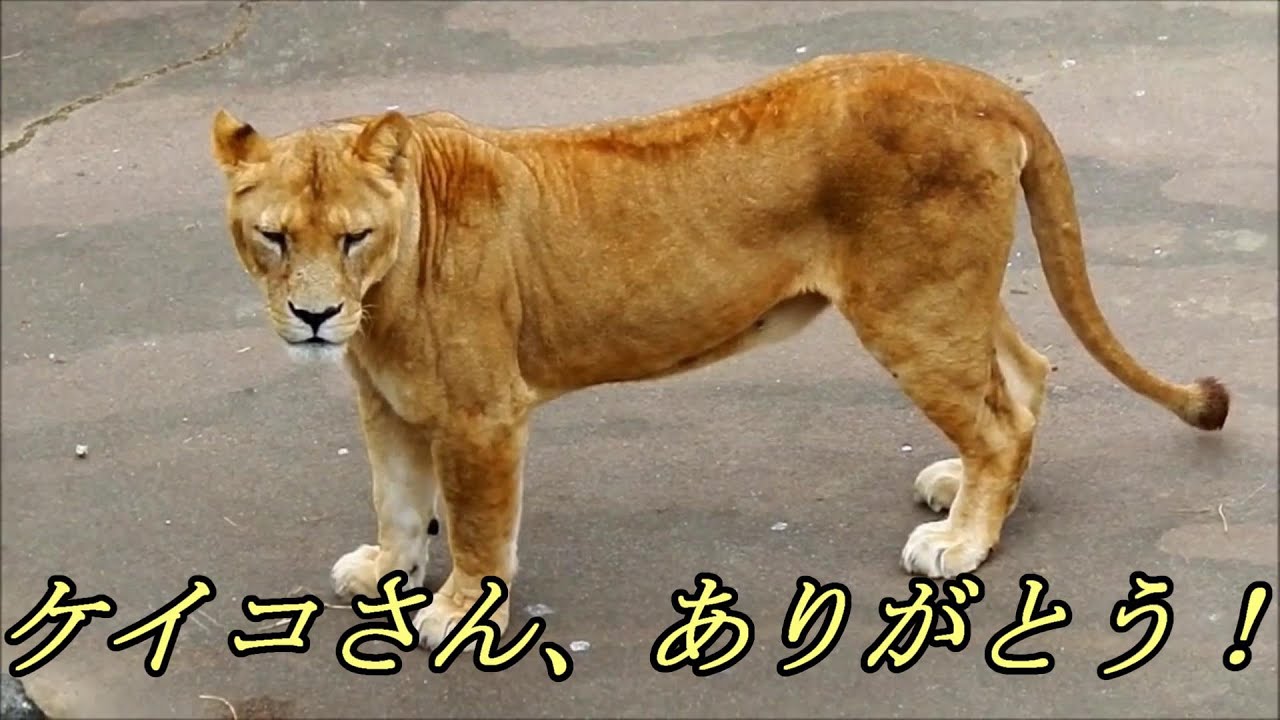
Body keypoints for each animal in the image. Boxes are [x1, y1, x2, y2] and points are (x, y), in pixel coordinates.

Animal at [209, 52, 1229, 649]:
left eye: (351, 237)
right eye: (273, 237)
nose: (312, 318)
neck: (381, 302)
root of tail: (979, 84)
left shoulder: (481, 414)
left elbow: (473, 523)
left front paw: (458, 610)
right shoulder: (386, 402)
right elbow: (396, 498)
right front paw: (386, 570)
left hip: (915, 304)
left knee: (1000, 416)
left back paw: (963, 541)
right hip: (947, 295)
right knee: (1025, 376)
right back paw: (965, 493)